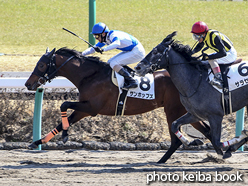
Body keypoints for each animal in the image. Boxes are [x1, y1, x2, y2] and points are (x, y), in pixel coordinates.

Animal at [25, 47, 211, 163]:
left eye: (41, 64)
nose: (28, 84)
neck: (90, 76)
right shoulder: (84, 109)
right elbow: (64, 118)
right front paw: (38, 141)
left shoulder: (91, 108)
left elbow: (63, 104)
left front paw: (63, 135)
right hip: (186, 110)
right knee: (206, 130)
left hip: (172, 109)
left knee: (176, 139)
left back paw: (162, 160)